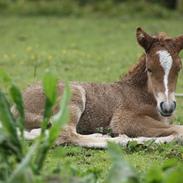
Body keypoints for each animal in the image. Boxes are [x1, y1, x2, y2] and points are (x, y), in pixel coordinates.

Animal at [12, 27, 183, 148]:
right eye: (149, 69)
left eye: (179, 68)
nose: (167, 107)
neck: (142, 94)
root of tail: (15, 106)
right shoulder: (123, 120)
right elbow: (178, 130)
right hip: (74, 94)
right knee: (65, 134)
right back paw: (121, 140)